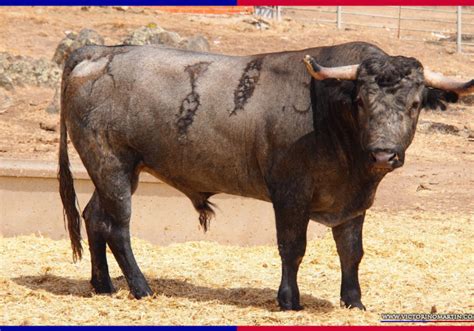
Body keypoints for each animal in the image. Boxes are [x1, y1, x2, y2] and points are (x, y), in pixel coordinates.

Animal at [59, 41, 474, 312]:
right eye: (360, 101)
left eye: (415, 104)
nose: (383, 153)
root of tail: (98, 51)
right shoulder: (290, 195)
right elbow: (292, 248)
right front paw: (290, 301)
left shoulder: (354, 204)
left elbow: (352, 252)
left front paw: (354, 302)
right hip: (111, 164)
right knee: (118, 227)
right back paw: (141, 288)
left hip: (116, 171)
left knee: (95, 218)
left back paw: (103, 285)